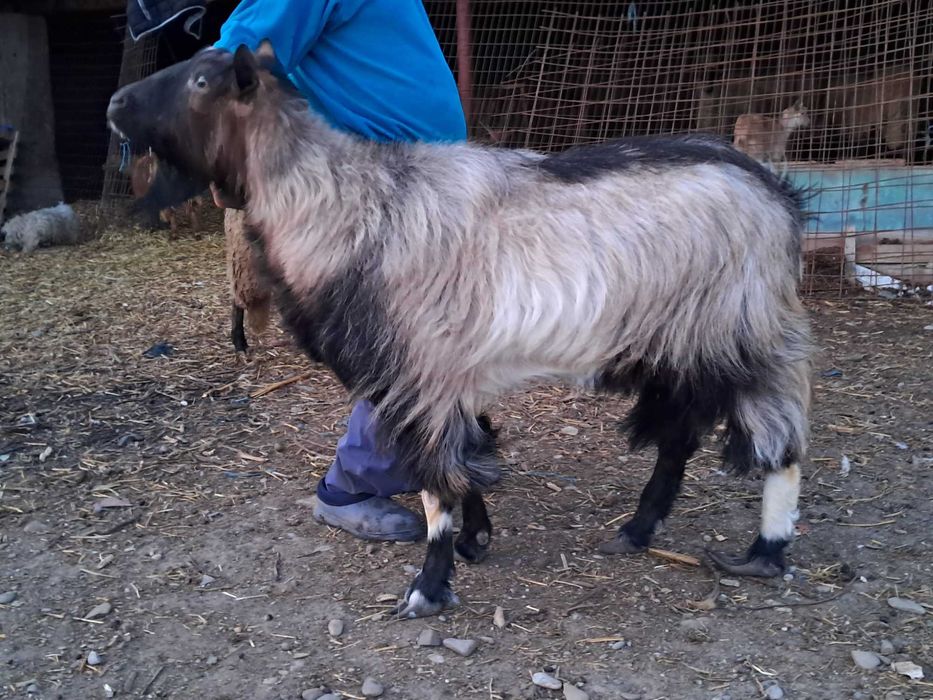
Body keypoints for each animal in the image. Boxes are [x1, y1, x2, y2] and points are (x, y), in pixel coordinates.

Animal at [107, 43, 814, 619]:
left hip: (743, 334)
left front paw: (429, 587)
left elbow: (437, 488)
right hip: (677, 349)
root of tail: (776, 192)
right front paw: (477, 539)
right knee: (678, 439)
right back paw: (637, 531)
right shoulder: (445, 379)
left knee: (780, 437)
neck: (352, 207)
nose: (115, 105)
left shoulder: (421, 376)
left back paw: (765, 551)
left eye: (201, 79)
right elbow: (469, 457)